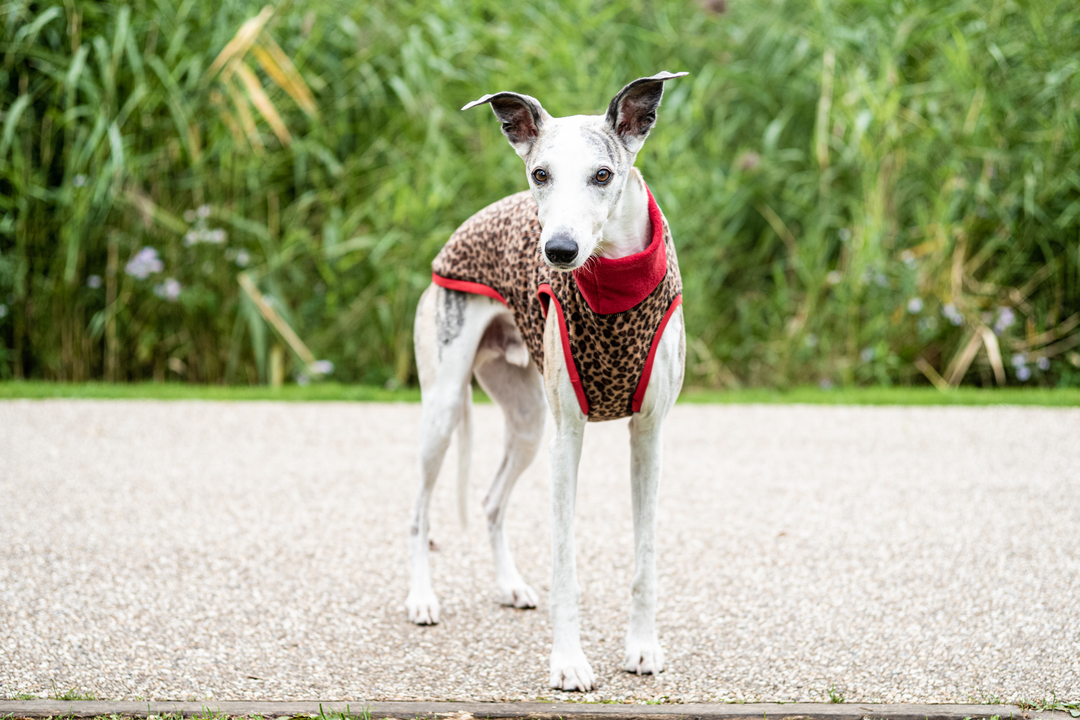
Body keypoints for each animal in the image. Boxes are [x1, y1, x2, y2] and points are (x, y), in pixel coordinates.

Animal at [408, 71, 686, 690]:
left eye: (603, 175)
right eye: (540, 174)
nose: (559, 251)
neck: (611, 281)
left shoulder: (650, 435)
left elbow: (646, 558)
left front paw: (642, 648)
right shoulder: (568, 437)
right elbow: (566, 564)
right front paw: (568, 662)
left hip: (529, 422)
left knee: (490, 501)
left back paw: (510, 586)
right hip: (443, 408)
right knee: (418, 506)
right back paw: (420, 598)